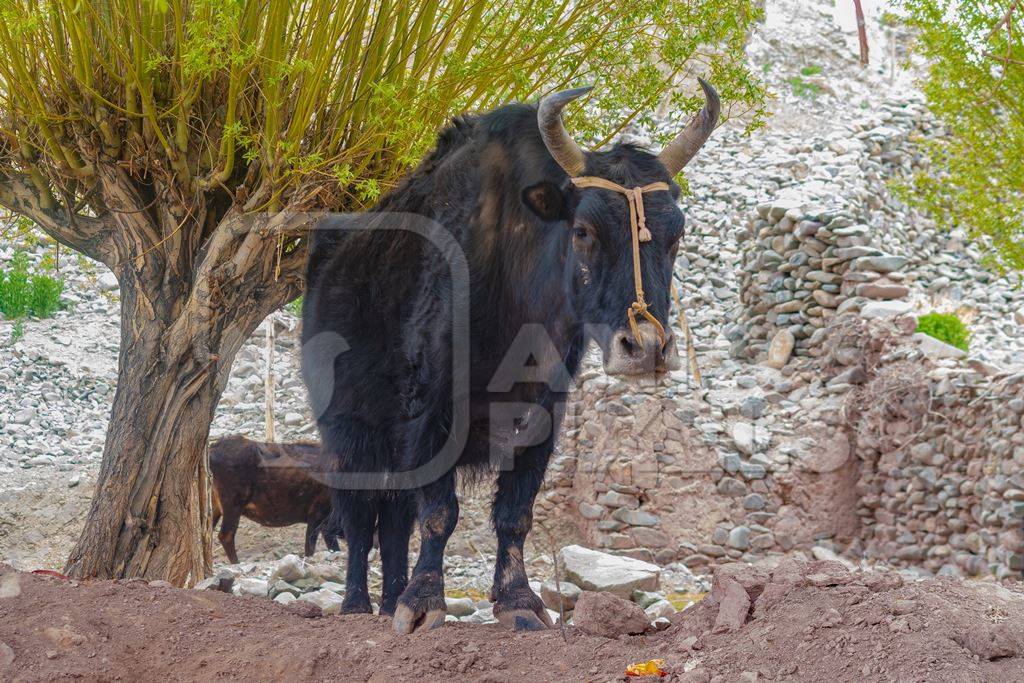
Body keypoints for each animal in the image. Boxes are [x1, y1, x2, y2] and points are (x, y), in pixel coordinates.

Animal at [208, 436, 339, 565]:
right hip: (233, 506)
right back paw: (236, 563)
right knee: (226, 535)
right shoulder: (317, 515)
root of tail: (213, 448)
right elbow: (310, 549)